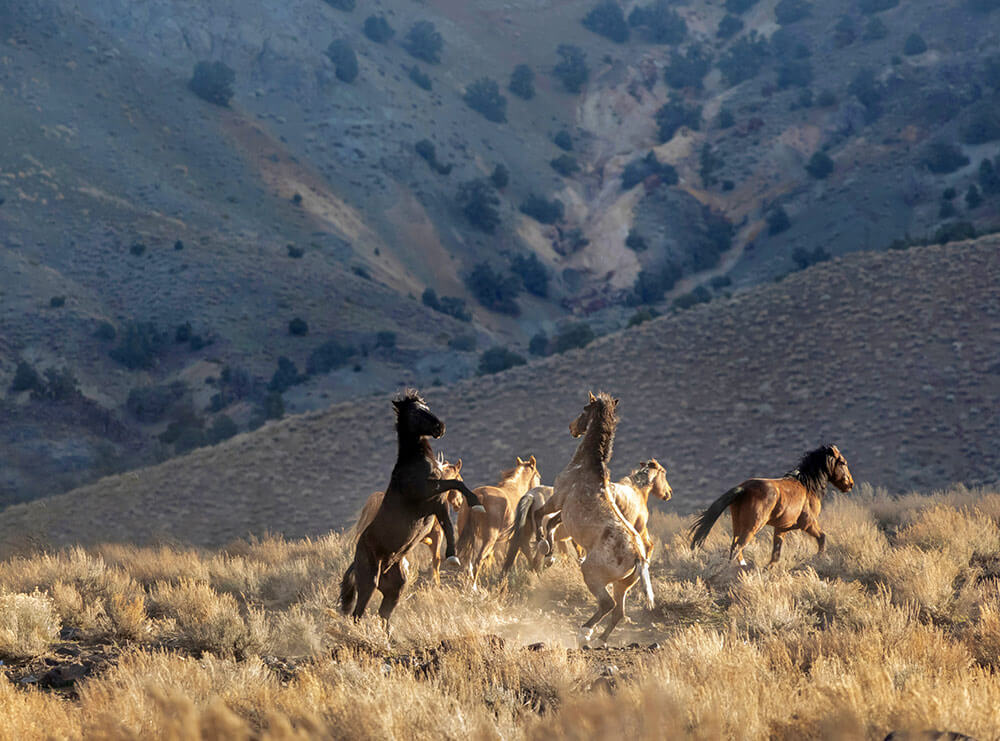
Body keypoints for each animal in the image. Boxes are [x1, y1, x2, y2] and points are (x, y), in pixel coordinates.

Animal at [455, 456, 541, 590]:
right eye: (538, 476)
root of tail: (480, 496)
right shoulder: (519, 538)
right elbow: (521, 556)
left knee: (466, 561)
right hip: (489, 539)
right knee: (478, 560)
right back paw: (474, 587)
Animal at [555, 392, 654, 645]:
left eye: (584, 408)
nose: (572, 427)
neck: (587, 467)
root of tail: (639, 556)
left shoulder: (556, 500)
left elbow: (543, 520)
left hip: (592, 574)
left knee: (607, 604)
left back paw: (585, 633)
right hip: (622, 585)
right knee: (618, 611)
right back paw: (600, 639)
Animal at [689, 444, 855, 567]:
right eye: (843, 463)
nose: (850, 484)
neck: (807, 486)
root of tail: (744, 488)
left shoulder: (781, 529)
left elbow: (776, 554)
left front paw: (768, 569)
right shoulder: (808, 523)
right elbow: (822, 538)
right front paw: (819, 559)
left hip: (738, 524)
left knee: (734, 546)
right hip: (753, 526)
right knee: (737, 546)